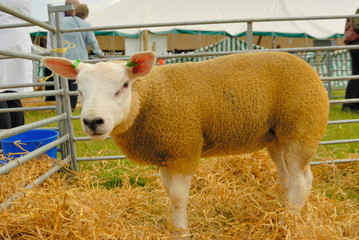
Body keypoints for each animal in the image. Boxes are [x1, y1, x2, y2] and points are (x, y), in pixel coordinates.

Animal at [41, 51, 330, 235]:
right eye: (79, 89)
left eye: (123, 85)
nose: (93, 121)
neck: (148, 99)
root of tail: (310, 69)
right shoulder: (167, 154)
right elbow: (169, 193)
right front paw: (174, 226)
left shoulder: (184, 150)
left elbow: (179, 197)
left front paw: (181, 231)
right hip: (277, 137)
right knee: (291, 177)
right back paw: (279, 209)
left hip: (300, 130)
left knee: (300, 181)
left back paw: (287, 221)